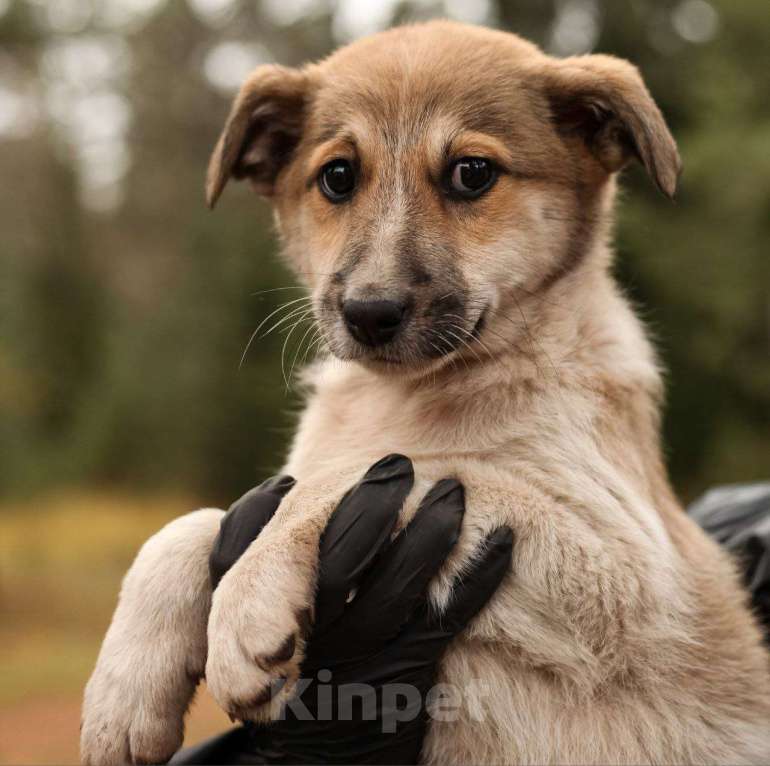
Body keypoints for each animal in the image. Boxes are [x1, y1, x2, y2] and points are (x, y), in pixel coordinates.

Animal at [79, 21, 768, 764]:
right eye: (337, 177)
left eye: (472, 173)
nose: (369, 312)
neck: (408, 393)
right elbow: (201, 520)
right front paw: (123, 694)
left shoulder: (624, 568)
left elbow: (386, 471)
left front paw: (246, 607)